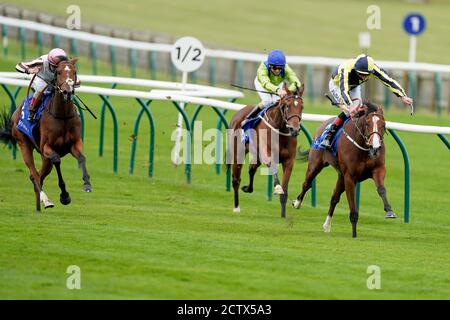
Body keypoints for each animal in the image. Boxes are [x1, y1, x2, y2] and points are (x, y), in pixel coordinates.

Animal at [0, 57, 91, 212]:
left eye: (74, 72)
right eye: (59, 72)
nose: (67, 91)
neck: (62, 115)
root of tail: (16, 113)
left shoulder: (75, 143)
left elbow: (82, 158)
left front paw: (87, 184)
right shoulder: (47, 147)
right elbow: (57, 160)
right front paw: (64, 196)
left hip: (44, 159)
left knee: (39, 176)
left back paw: (39, 205)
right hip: (24, 144)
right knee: (34, 174)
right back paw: (46, 200)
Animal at [227, 84, 304, 218]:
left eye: (301, 107)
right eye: (287, 106)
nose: (294, 129)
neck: (280, 131)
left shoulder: (289, 161)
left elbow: (285, 190)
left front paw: (283, 215)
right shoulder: (266, 154)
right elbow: (273, 168)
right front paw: (277, 187)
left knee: (251, 169)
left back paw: (247, 188)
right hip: (238, 153)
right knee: (236, 179)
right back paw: (236, 207)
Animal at [292, 102, 394, 238]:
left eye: (384, 124)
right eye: (367, 124)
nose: (376, 146)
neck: (363, 149)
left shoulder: (378, 170)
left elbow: (381, 189)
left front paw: (389, 211)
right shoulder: (350, 177)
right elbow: (352, 206)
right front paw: (354, 233)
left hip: (341, 176)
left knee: (334, 198)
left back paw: (327, 225)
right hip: (316, 164)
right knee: (307, 184)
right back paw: (297, 203)